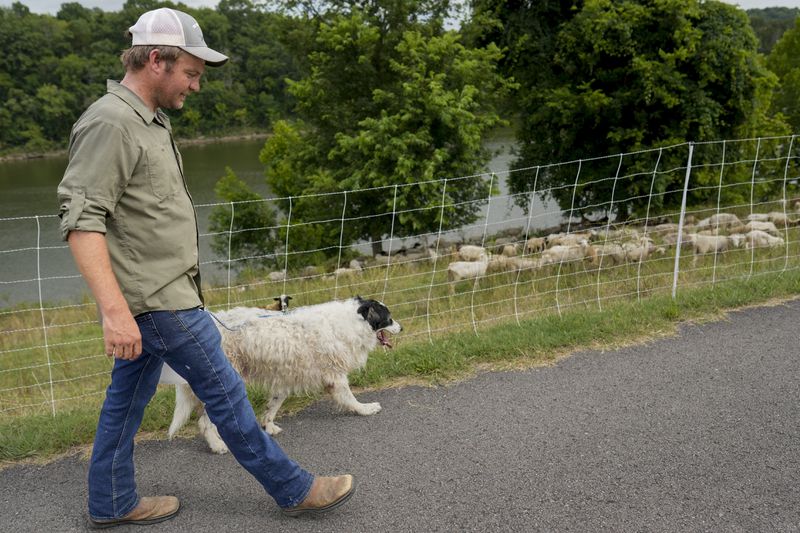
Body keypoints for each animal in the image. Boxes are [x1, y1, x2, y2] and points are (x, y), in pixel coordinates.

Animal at [162, 296, 404, 454]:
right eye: (389, 319)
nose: (402, 328)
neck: (352, 321)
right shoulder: (335, 376)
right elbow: (350, 399)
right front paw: (366, 409)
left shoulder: (285, 380)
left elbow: (273, 406)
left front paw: (268, 427)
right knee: (204, 422)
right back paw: (218, 446)